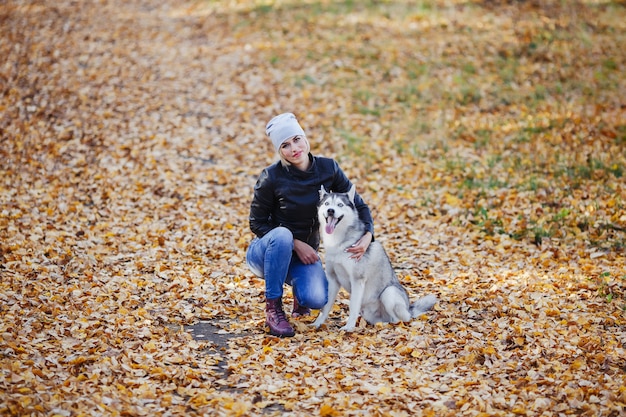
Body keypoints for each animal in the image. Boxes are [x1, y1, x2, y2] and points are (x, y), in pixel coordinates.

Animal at [310, 185, 436, 332]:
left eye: (340, 205)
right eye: (327, 204)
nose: (331, 210)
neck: (338, 243)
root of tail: (409, 309)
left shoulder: (357, 280)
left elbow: (353, 306)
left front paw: (349, 327)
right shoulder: (332, 279)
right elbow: (325, 307)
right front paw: (317, 323)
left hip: (389, 293)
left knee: (398, 320)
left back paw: (386, 325)